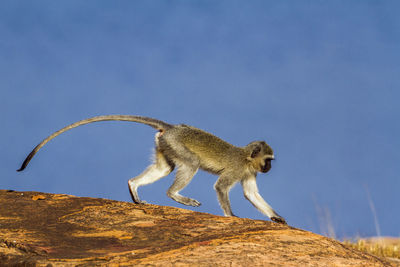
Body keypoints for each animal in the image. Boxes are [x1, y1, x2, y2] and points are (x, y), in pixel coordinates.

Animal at [17, 115, 286, 224]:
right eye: (269, 159)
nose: (270, 167)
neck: (247, 159)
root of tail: (172, 128)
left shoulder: (249, 172)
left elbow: (252, 194)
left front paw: (276, 217)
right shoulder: (238, 169)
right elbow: (221, 187)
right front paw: (231, 216)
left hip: (165, 145)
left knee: (165, 168)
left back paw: (134, 188)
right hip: (175, 144)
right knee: (191, 164)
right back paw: (175, 195)